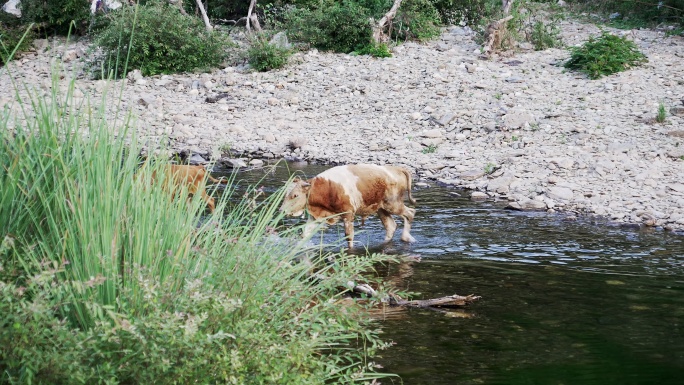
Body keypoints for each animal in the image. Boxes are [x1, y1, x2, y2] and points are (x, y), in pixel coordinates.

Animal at [278, 164, 416, 248]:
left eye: (295, 195)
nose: (280, 210)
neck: (327, 188)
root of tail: (396, 169)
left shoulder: (348, 214)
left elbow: (349, 236)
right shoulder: (316, 215)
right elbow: (305, 233)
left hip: (393, 204)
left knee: (410, 213)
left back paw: (405, 237)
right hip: (381, 208)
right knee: (391, 226)